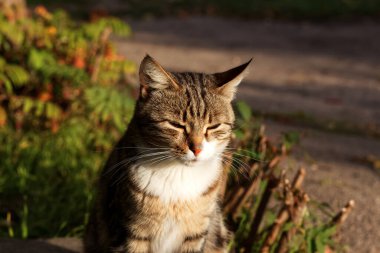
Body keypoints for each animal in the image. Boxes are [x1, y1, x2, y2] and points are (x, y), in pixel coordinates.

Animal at [84, 55, 251, 253]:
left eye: (213, 126)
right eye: (176, 125)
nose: (197, 149)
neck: (178, 175)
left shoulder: (196, 234)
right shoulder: (130, 232)